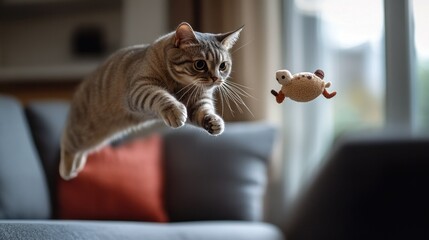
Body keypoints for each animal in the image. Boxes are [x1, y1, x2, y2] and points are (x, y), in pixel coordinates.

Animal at [59, 22, 244, 180]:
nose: (216, 78)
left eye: (223, 66)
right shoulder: (141, 88)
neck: (182, 85)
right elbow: (162, 96)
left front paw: (214, 122)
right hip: (83, 131)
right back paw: (67, 169)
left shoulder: (198, 102)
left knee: (81, 151)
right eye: (200, 64)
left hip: (96, 140)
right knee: (68, 143)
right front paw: (175, 110)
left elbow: (205, 112)